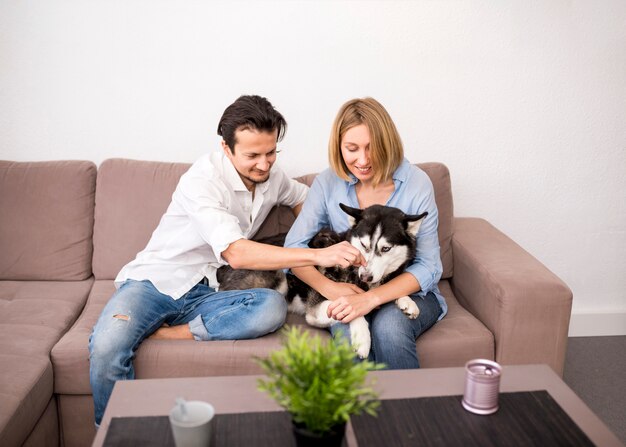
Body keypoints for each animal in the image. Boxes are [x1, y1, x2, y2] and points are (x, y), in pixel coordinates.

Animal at [217, 205, 426, 358]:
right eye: (364, 245)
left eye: (386, 248)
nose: (365, 276)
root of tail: (223, 267)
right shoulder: (316, 309)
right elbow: (351, 306)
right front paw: (362, 338)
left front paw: (407, 301)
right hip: (279, 278)